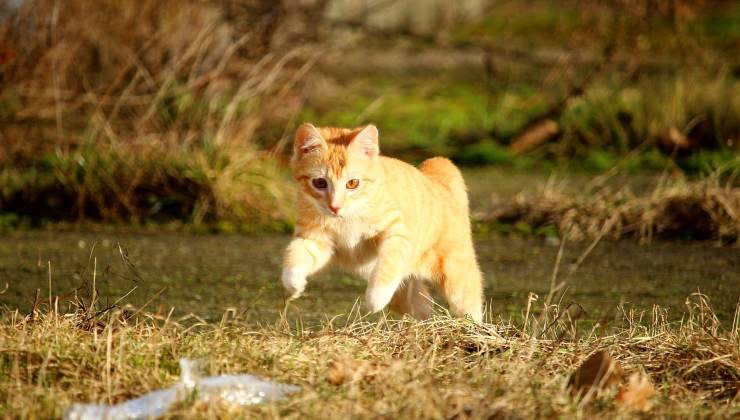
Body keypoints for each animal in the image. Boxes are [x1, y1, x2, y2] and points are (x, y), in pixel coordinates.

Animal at [280, 123, 482, 320]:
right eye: (320, 183)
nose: (335, 207)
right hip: (407, 296)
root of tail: (435, 179)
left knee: (470, 307)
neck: (346, 218)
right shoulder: (317, 240)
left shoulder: (398, 233)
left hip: (457, 280)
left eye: (352, 183)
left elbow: (389, 262)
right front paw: (293, 282)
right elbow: (295, 254)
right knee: (424, 305)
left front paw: (376, 296)